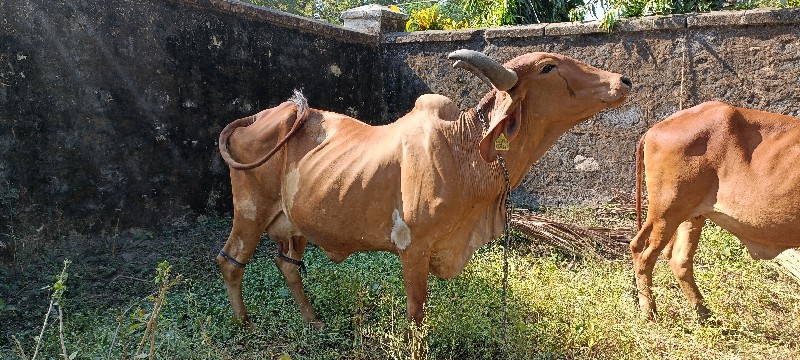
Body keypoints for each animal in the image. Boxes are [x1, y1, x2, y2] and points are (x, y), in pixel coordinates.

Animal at [219, 49, 632, 328]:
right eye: (548, 67)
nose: (623, 81)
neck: (466, 150)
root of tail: (259, 116)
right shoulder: (412, 248)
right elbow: (417, 313)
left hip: (294, 224)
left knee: (287, 266)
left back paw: (313, 321)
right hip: (250, 211)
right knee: (230, 260)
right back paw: (244, 322)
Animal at [632, 100, 800, 320]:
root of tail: (657, 127)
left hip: (691, 215)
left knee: (679, 258)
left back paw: (703, 312)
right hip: (666, 211)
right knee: (641, 250)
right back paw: (649, 311)